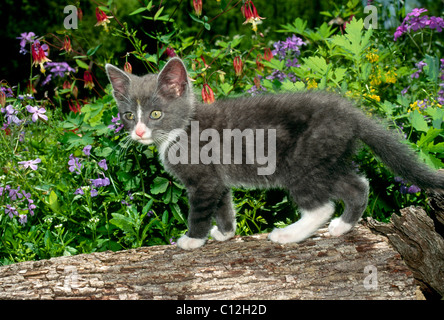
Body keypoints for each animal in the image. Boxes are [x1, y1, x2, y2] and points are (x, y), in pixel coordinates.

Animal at [105, 58, 444, 251]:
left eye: (156, 114)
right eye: (127, 116)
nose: (138, 132)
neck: (183, 128)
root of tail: (351, 114)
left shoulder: (203, 180)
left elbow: (200, 210)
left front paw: (192, 240)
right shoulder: (216, 179)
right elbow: (223, 205)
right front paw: (225, 234)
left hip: (301, 161)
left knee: (322, 205)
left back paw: (288, 235)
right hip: (327, 159)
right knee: (358, 185)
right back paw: (341, 227)